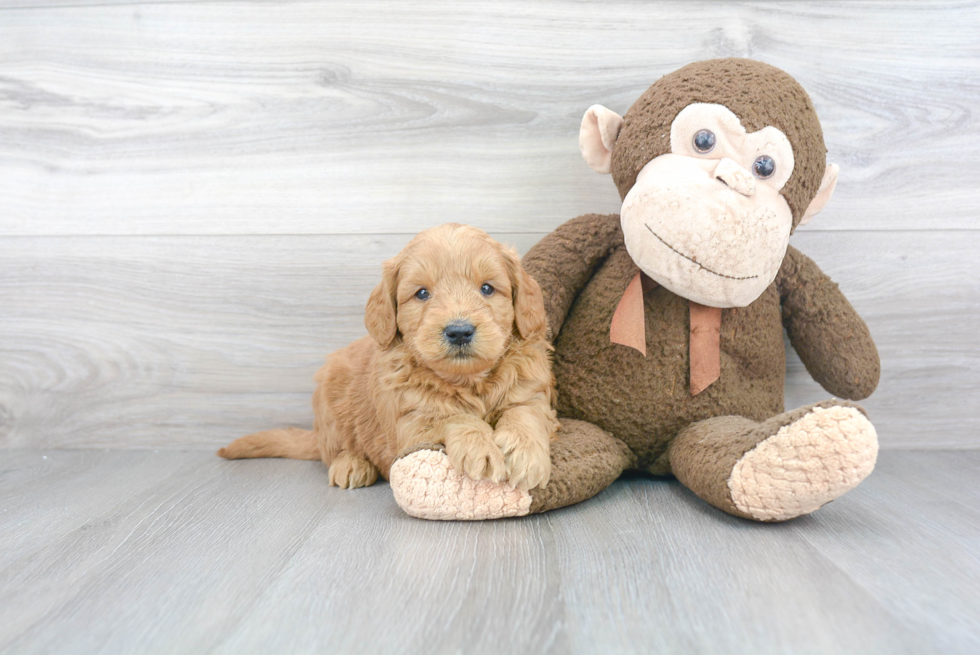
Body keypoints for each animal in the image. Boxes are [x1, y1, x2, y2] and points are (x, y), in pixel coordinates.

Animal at [222, 224, 560, 492]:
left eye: (487, 288)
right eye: (422, 293)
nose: (459, 331)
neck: (467, 381)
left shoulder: (532, 393)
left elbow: (524, 414)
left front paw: (525, 454)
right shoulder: (409, 425)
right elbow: (454, 416)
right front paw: (480, 448)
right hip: (330, 407)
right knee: (335, 451)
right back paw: (351, 465)